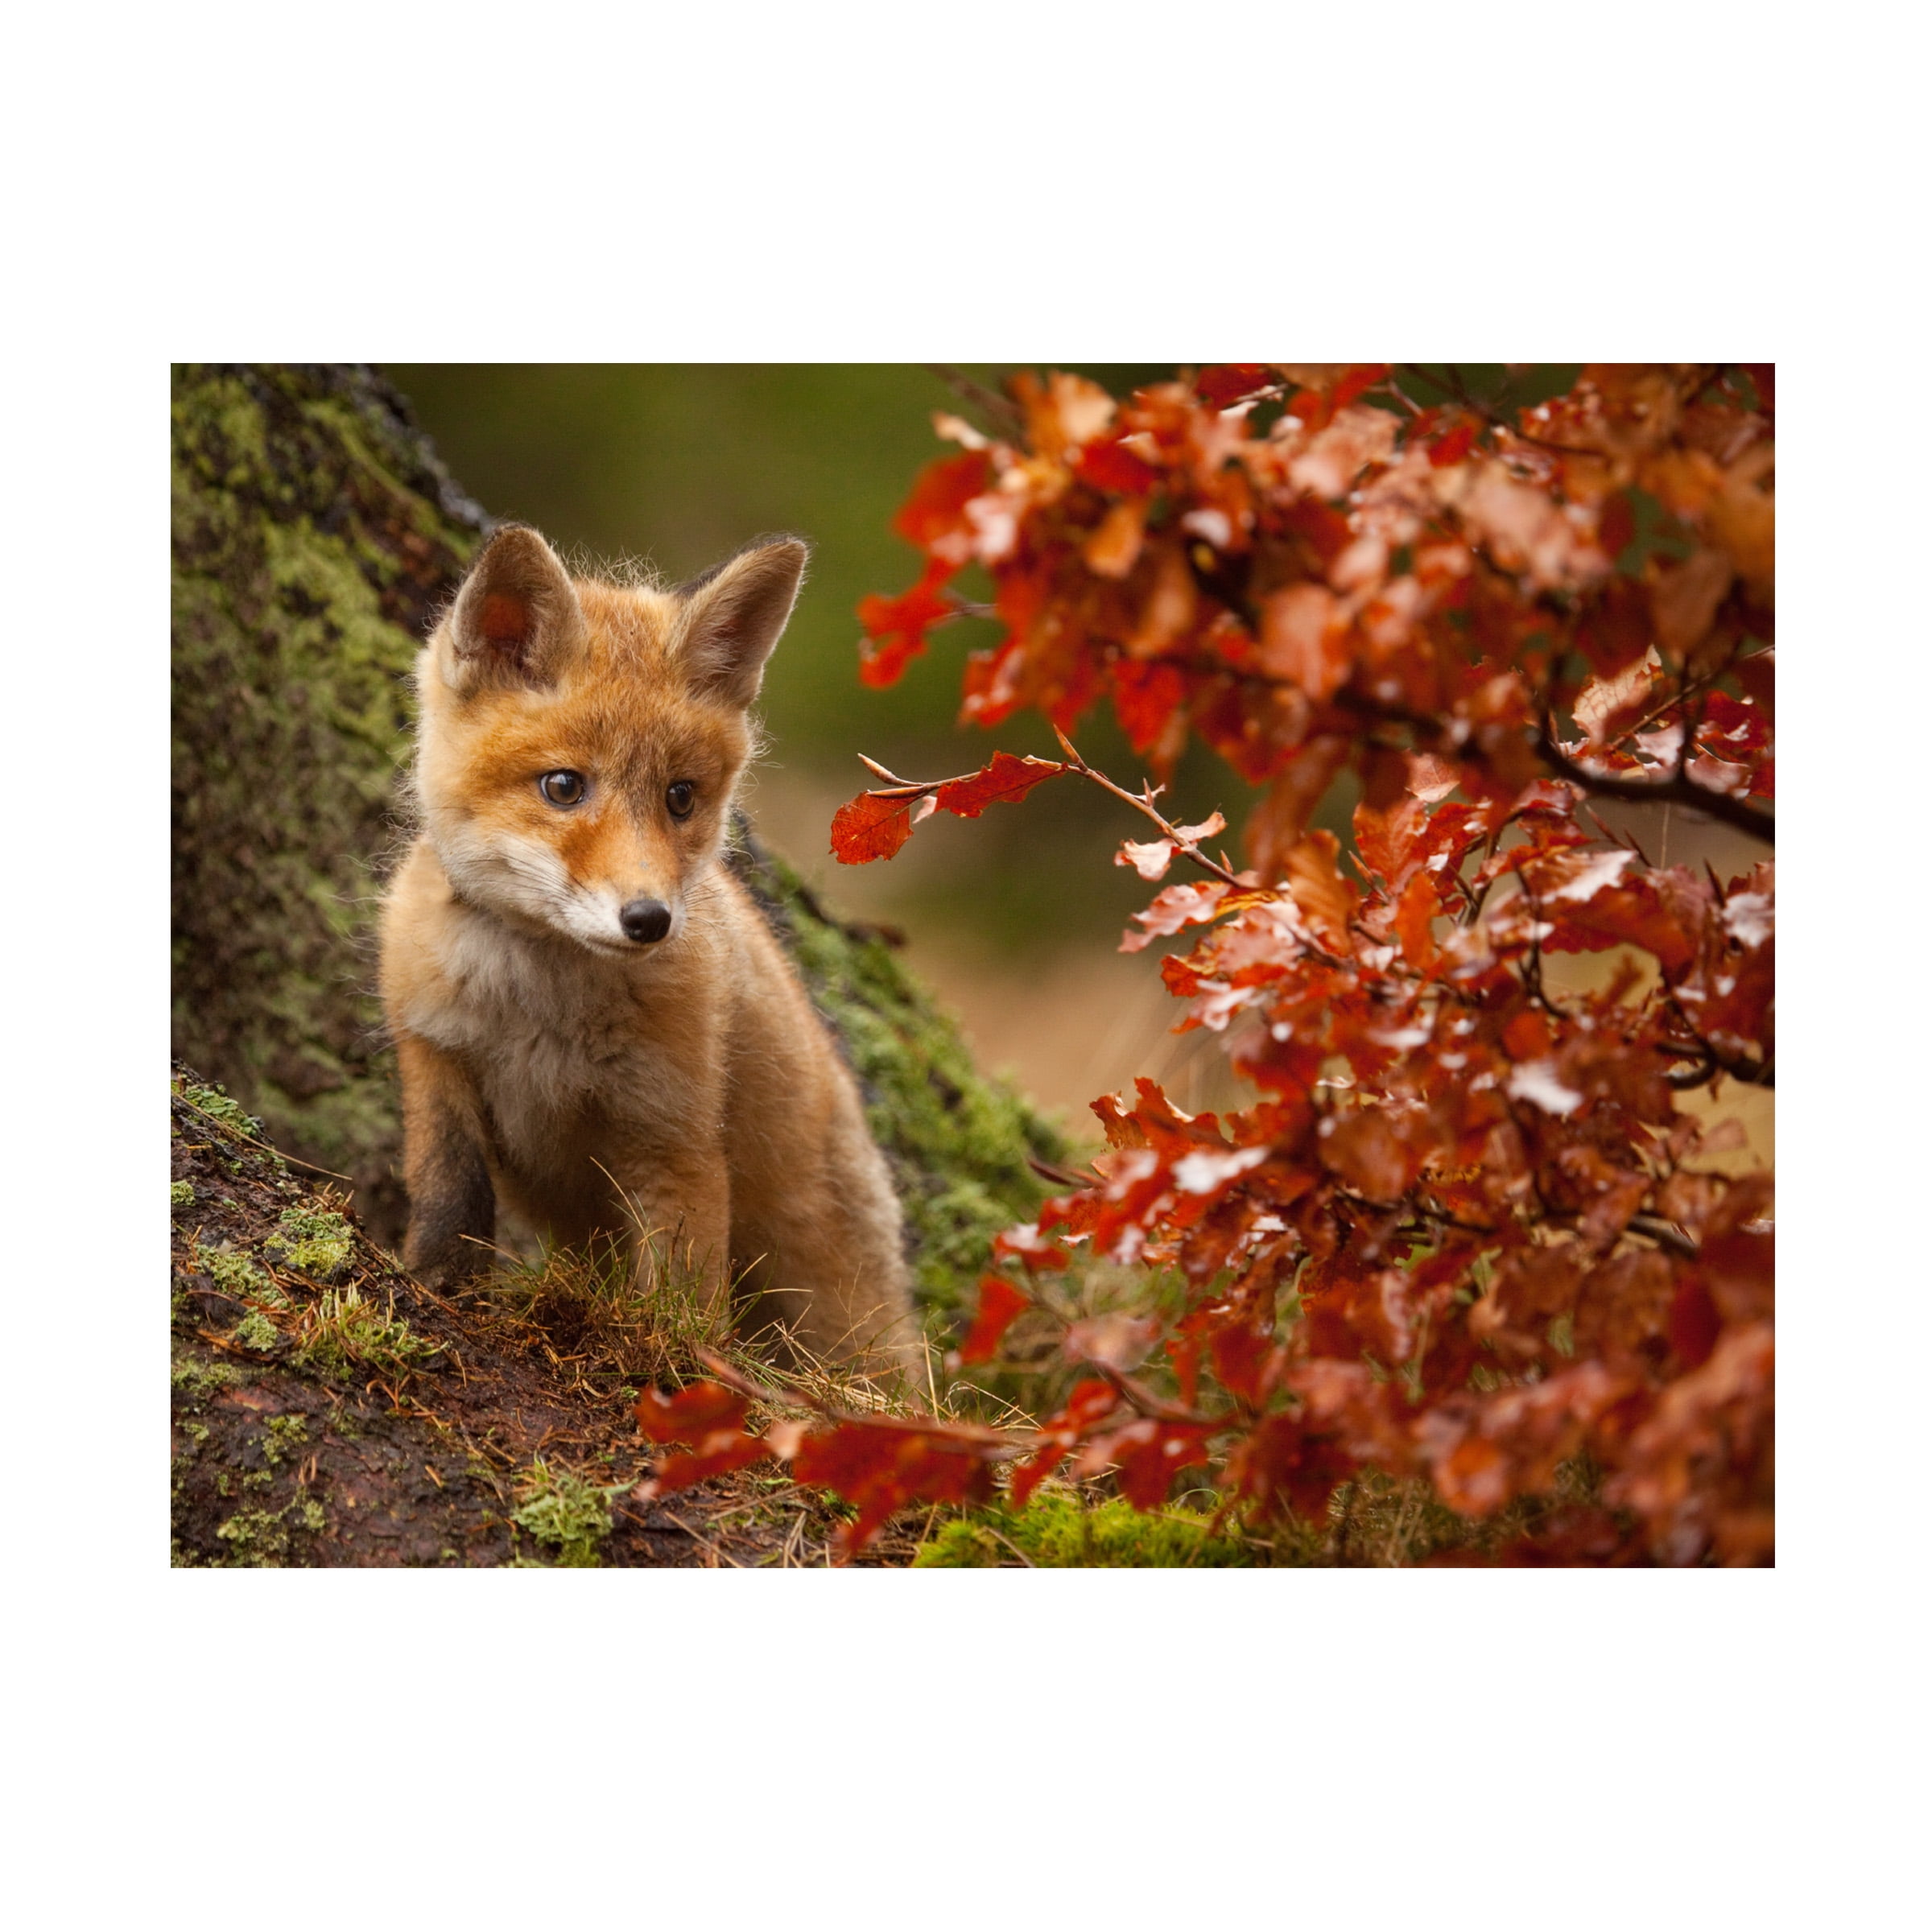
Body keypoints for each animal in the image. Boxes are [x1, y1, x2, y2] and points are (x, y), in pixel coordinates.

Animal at [378, 523, 920, 1380]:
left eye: (681, 797)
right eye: (563, 787)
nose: (649, 920)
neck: (538, 1012)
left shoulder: (672, 1131)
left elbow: (681, 1292)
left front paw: (678, 1375)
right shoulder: (434, 1060)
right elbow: (446, 1200)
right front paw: (435, 1287)